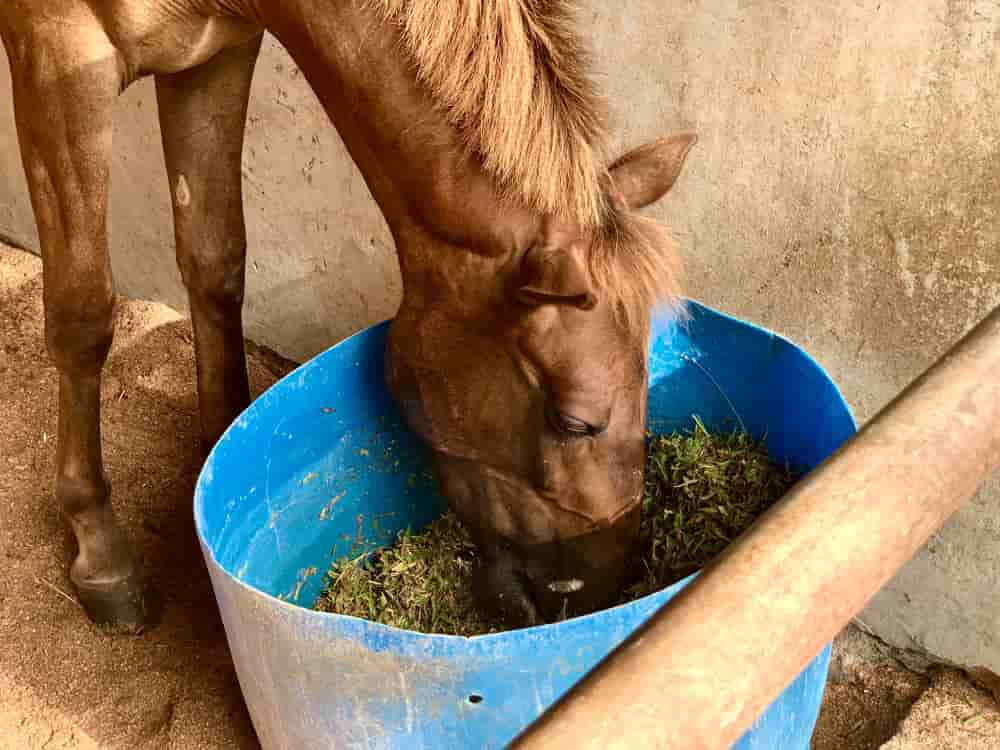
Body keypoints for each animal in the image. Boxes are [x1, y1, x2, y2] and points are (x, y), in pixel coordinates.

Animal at [0, 0, 696, 636]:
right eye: (573, 422)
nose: (599, 590)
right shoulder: (58, 54)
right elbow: (84, 316)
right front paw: (103, 553)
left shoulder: (214, 52)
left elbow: (215, 261)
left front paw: (222, 452)